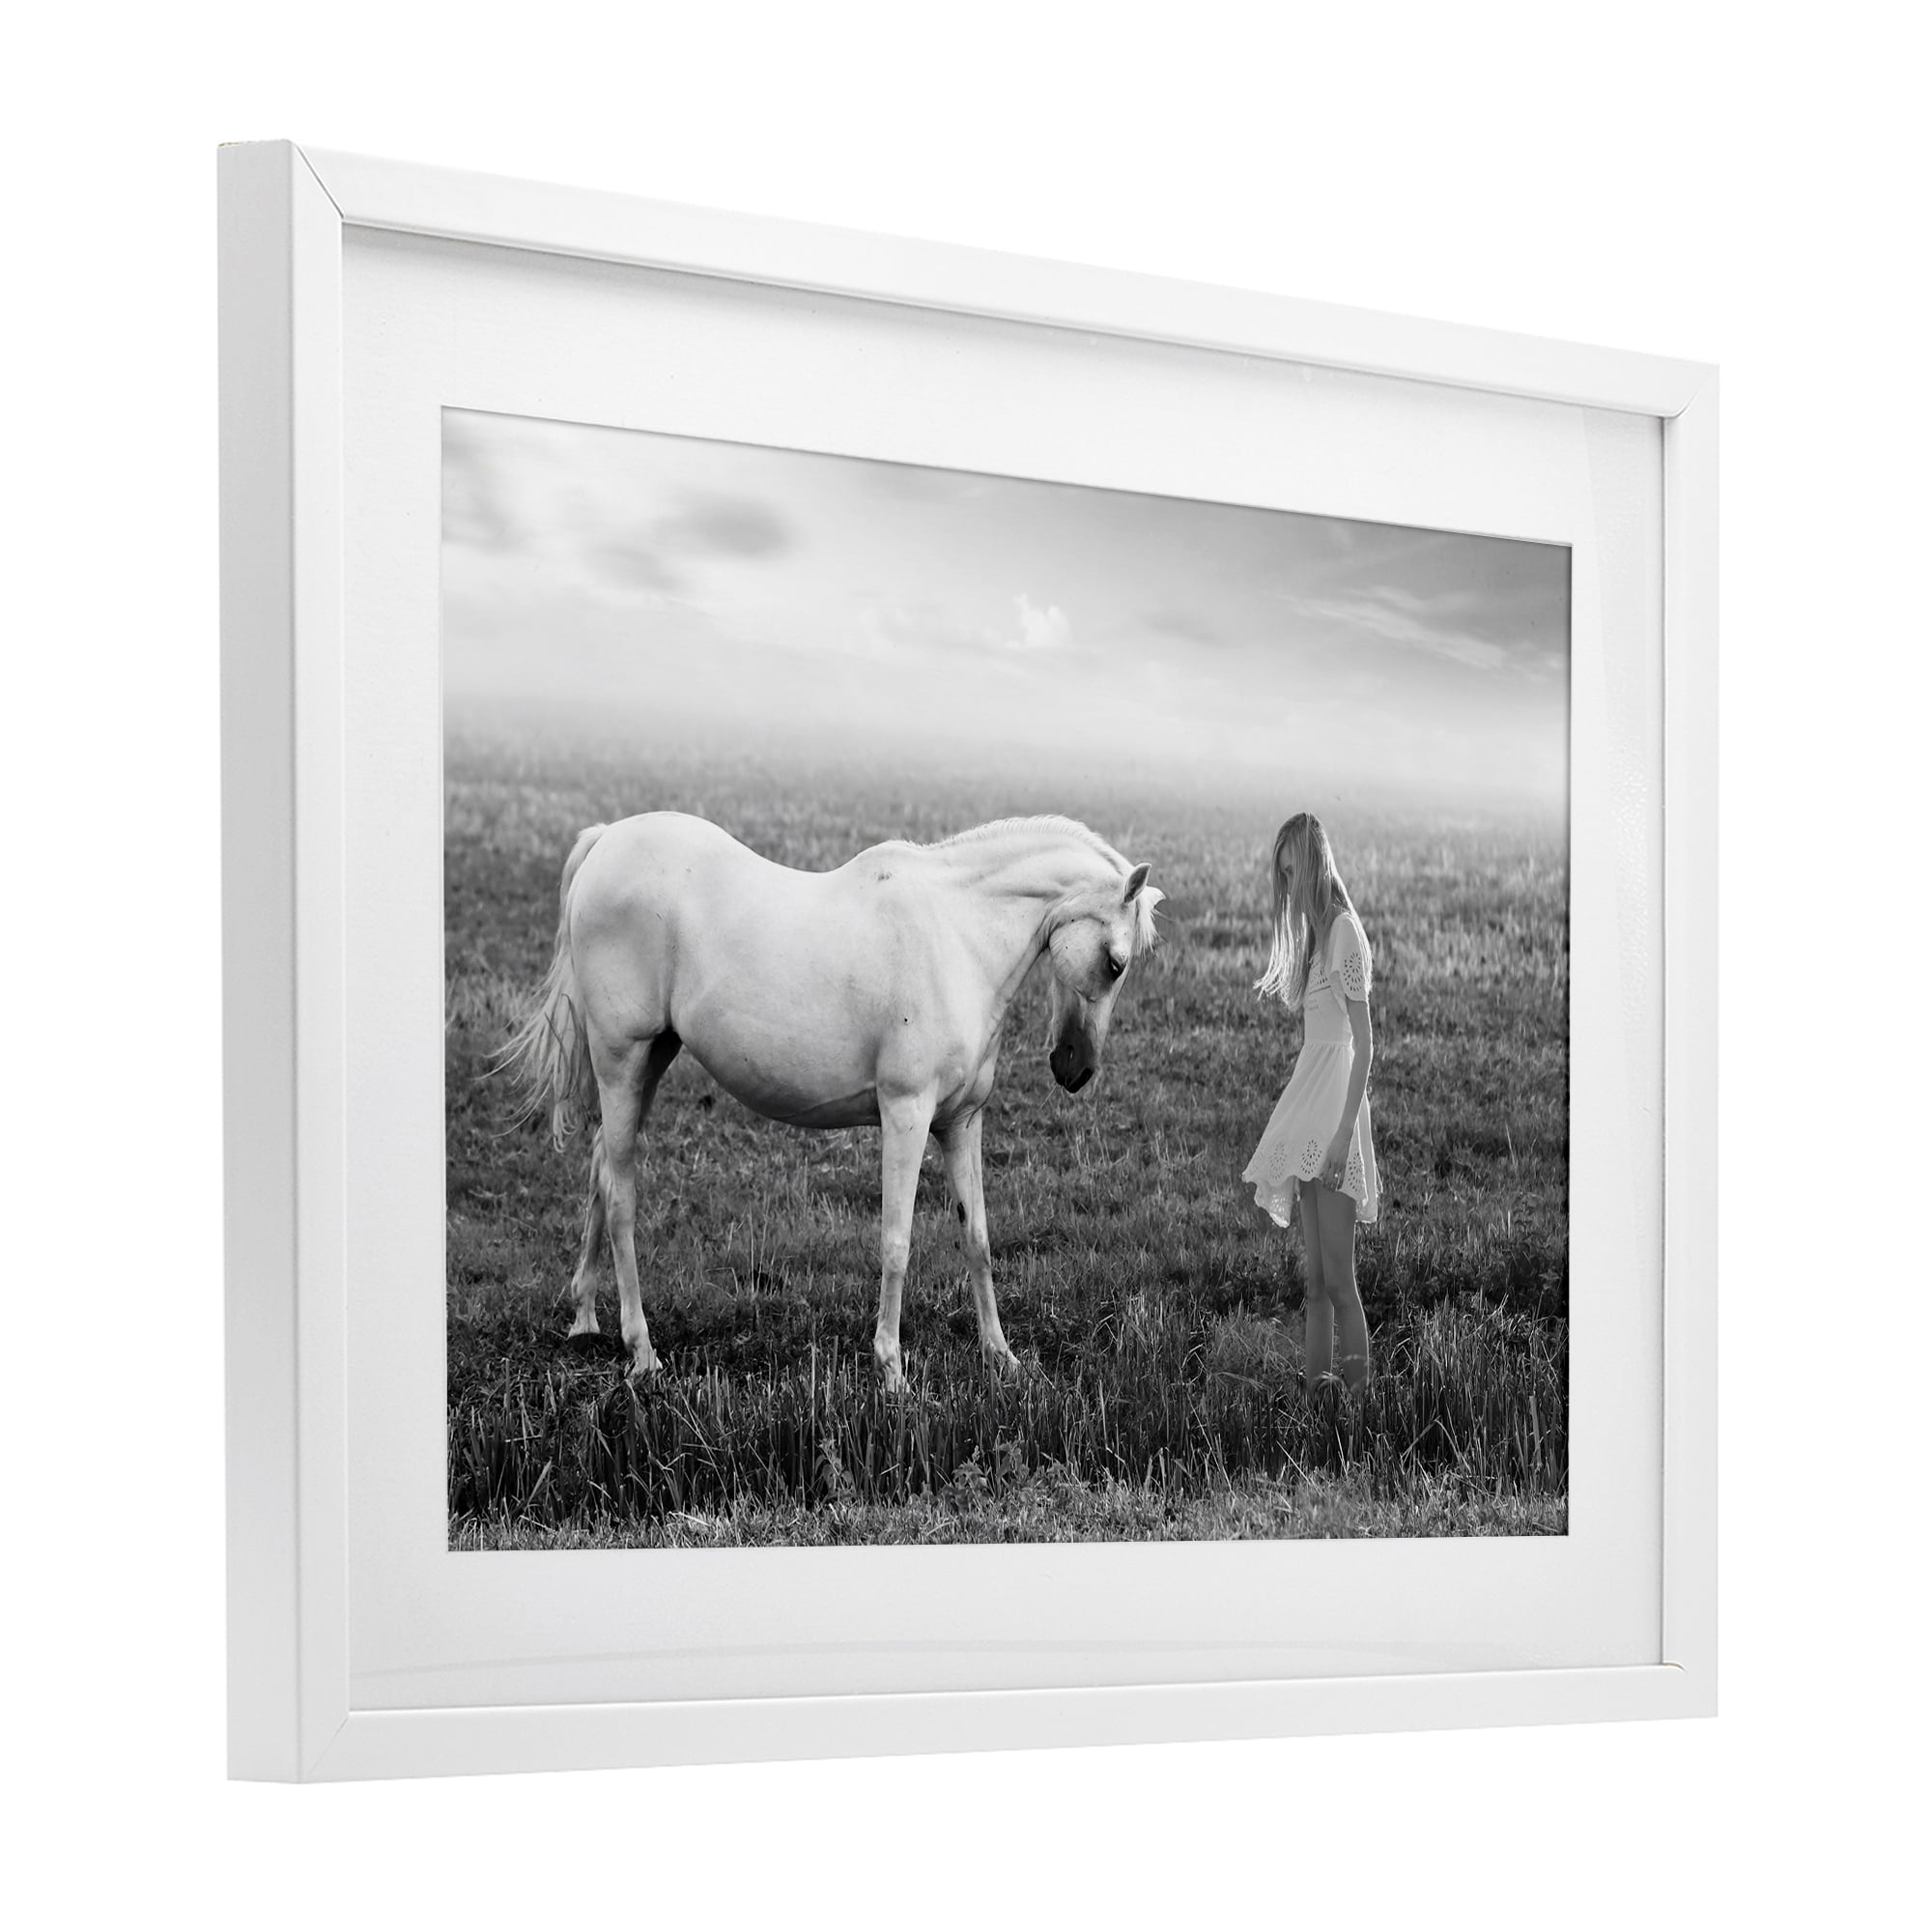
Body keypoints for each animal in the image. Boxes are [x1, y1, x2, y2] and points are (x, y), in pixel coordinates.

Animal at [500, 811, 1163, 1389]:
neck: (956, 936)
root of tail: (607, 839)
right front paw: (891, 1370)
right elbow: (896, 1244)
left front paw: (1002, 1356)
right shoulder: (906, 1116)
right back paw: (641, 1352)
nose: (1075, 1068)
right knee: (620, 1199)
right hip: (622, 1059)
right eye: (1114, 963)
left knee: (600, 1168)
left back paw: (585, 1318)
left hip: (651, 1059)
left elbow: (977, 1238)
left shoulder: (960, 1123)